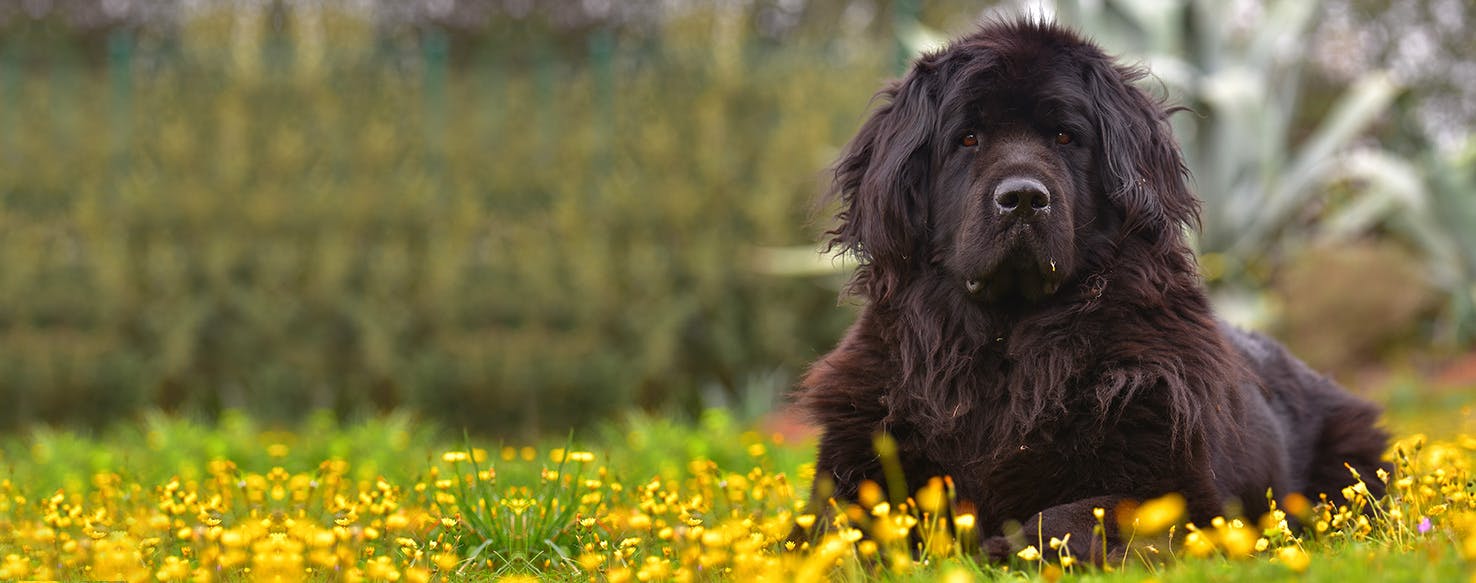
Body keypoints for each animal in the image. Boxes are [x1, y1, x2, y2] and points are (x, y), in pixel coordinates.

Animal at [802, 20, 1387, 563]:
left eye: (1065, 137)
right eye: (968, 138)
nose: (1022, 197)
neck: (1004, 347)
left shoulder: (1184, 488)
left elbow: (1078, 514)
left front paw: (1005, 548)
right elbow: (832, 529)